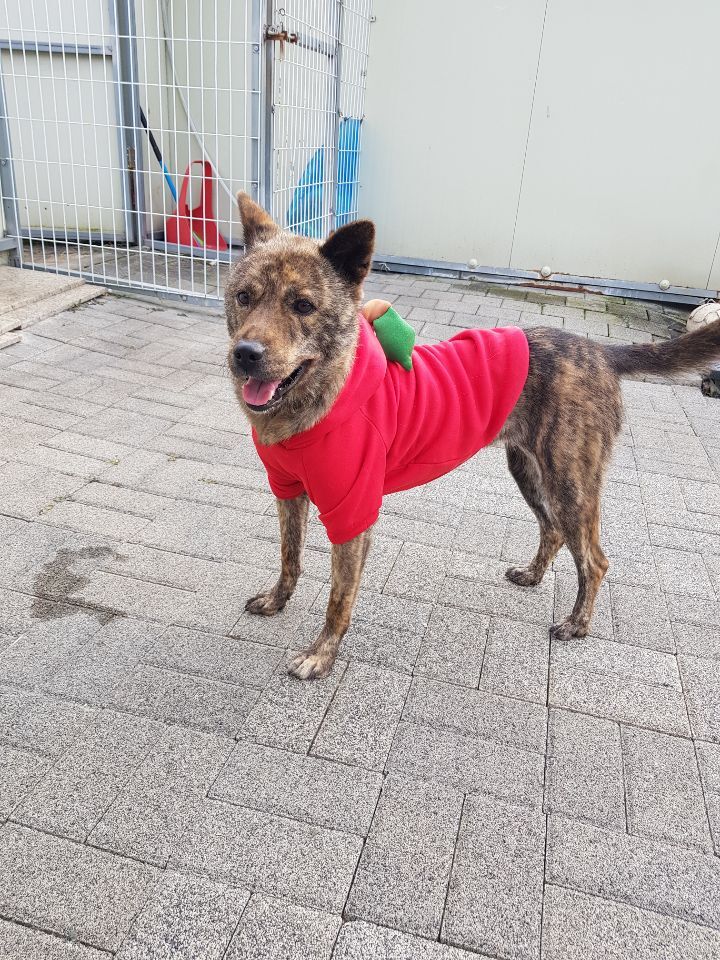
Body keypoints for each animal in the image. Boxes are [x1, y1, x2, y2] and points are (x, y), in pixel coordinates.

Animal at [226, 192, 720, 680]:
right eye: (243, 297)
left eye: (303, 306)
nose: (245, 354)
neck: (318, 400)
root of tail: (600, 350)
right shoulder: (287, 490)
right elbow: (289, 555)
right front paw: (277, 600)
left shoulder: (353, 512)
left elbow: (338, 599)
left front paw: (321, 656)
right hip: (528, 470)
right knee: (553, 530)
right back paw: (532, 576)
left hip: (571, 484)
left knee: (594, 560)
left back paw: (577, 624)